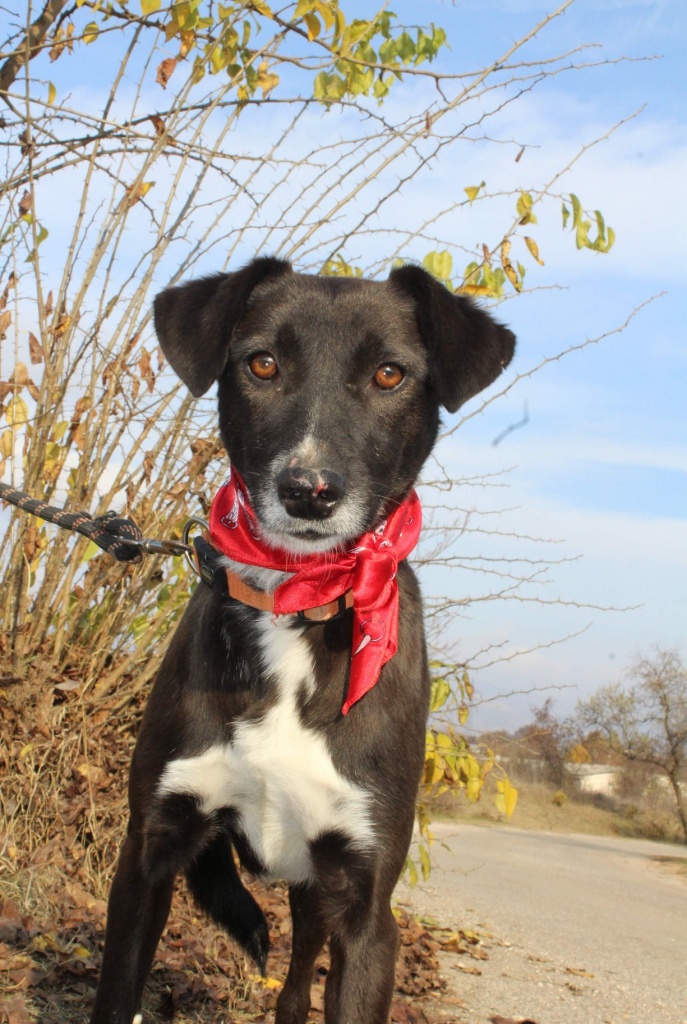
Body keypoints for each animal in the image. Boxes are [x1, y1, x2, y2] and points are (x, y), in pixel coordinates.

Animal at [88, 258, 513, 1024]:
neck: (297, 603)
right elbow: (116, 993)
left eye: (388, 374)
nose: (309, 490)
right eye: (262, 363)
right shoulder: (147, 857)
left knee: (292, 991)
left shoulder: (366, 908)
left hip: (316, 901)